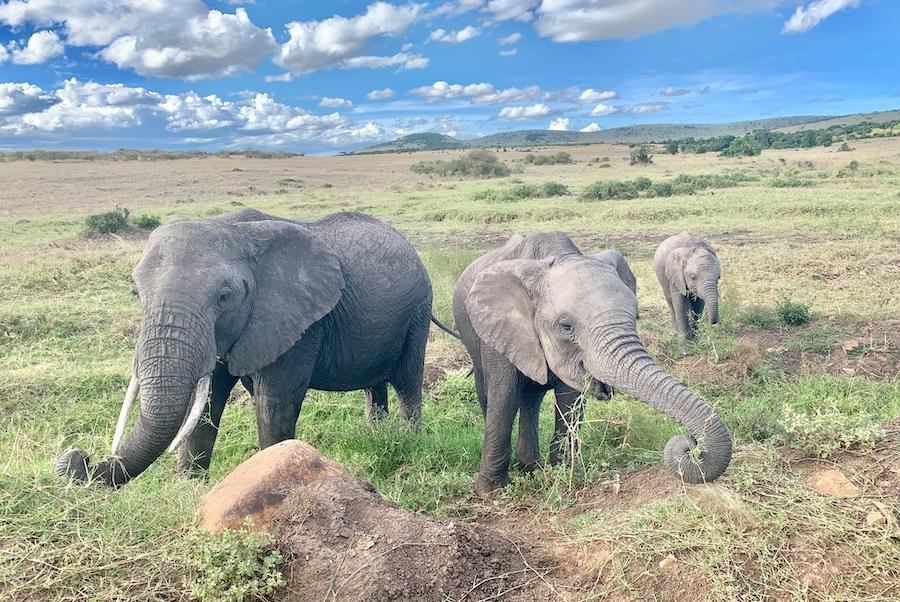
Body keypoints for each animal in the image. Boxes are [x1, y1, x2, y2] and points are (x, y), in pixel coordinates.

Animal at [55, 209, 436, 486]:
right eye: (135, 293)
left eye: (225, 297)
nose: (75, 456)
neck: (238, 229)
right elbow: (206, 401)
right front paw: (189, 486)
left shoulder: (299, 321)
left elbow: (274, 401)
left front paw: (275, 475)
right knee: (375, 386)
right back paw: (377, 435)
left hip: (418, 311)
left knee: (406, 382)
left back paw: (410, 442)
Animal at [454, 230, 736, 492]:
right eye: (566, 326)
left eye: (636, 316)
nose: (691, 445)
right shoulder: (500, 328)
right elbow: (505, 395)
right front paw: (491, 491)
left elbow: (569, 399)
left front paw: (559, 474)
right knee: (491, 394)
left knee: (532, 398)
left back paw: (530, 467)